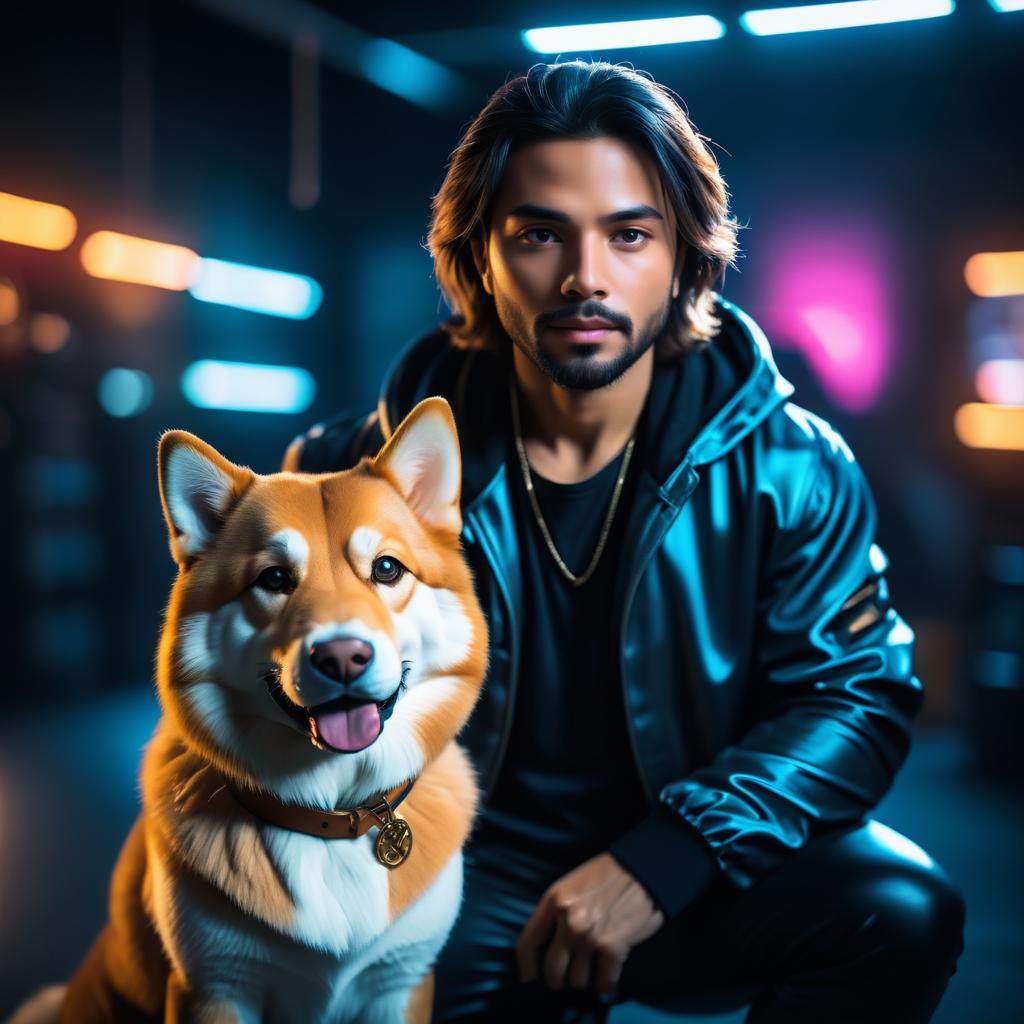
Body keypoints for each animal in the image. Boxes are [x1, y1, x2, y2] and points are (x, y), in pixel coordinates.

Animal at [46, 397, 485, 1024]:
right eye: (274, 578)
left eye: (387, 569)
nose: (343, 656)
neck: (329, 819)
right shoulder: (212, 989)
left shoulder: (401, 982)